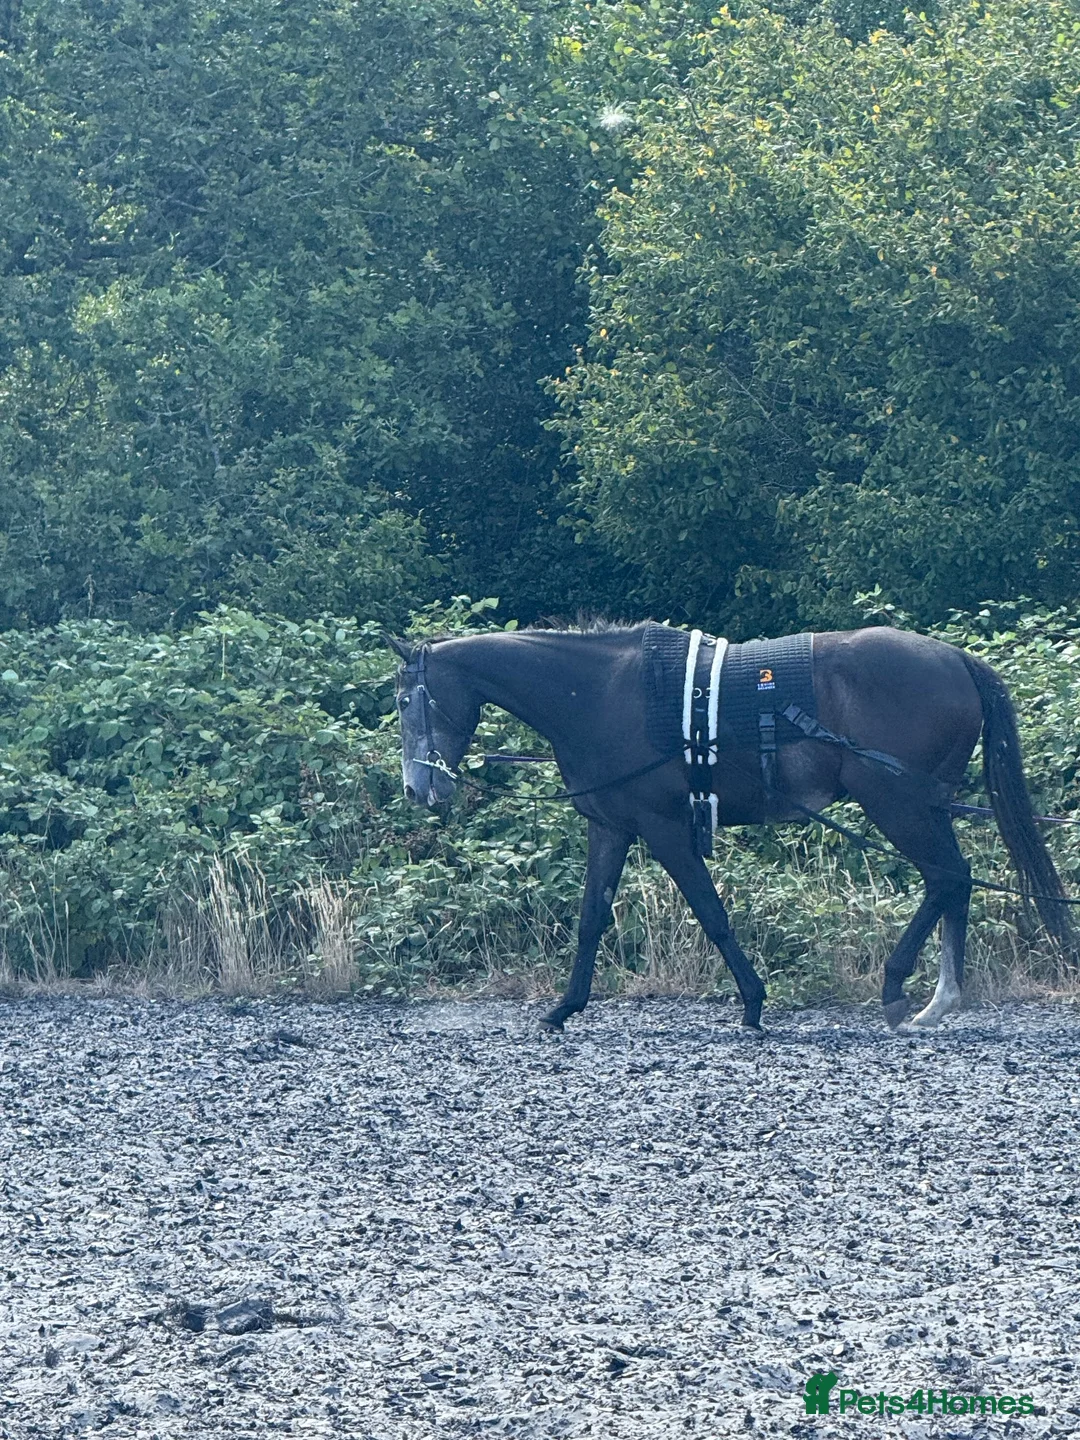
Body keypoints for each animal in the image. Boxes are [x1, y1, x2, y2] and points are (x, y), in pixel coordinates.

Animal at [388, 623, 1073, 1034]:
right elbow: (590, 919)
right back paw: (939, 997)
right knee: (954, 881)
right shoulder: (611, 828)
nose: (419, 788)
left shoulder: (663, 828)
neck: (599, 697)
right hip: (922, 807)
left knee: (946, 877)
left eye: (403, 699)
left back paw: (900, 987)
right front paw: (564, 1007)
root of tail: (957, 659)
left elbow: (711, 914)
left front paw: (752, 1002)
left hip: (897, 803)